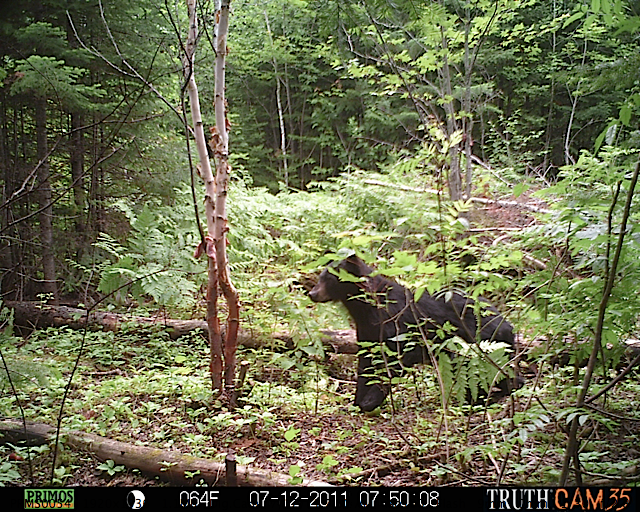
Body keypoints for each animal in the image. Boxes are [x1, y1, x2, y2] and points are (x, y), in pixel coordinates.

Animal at [308, 256, 516, 412]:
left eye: (330, 279)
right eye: (320, 276)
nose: (311, 293)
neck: (366, 308)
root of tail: (507, 323)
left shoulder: (398, 328)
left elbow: (394, 362)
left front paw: (370, 401)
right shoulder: (367, 331)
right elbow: (366, 364)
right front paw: (357, 402)